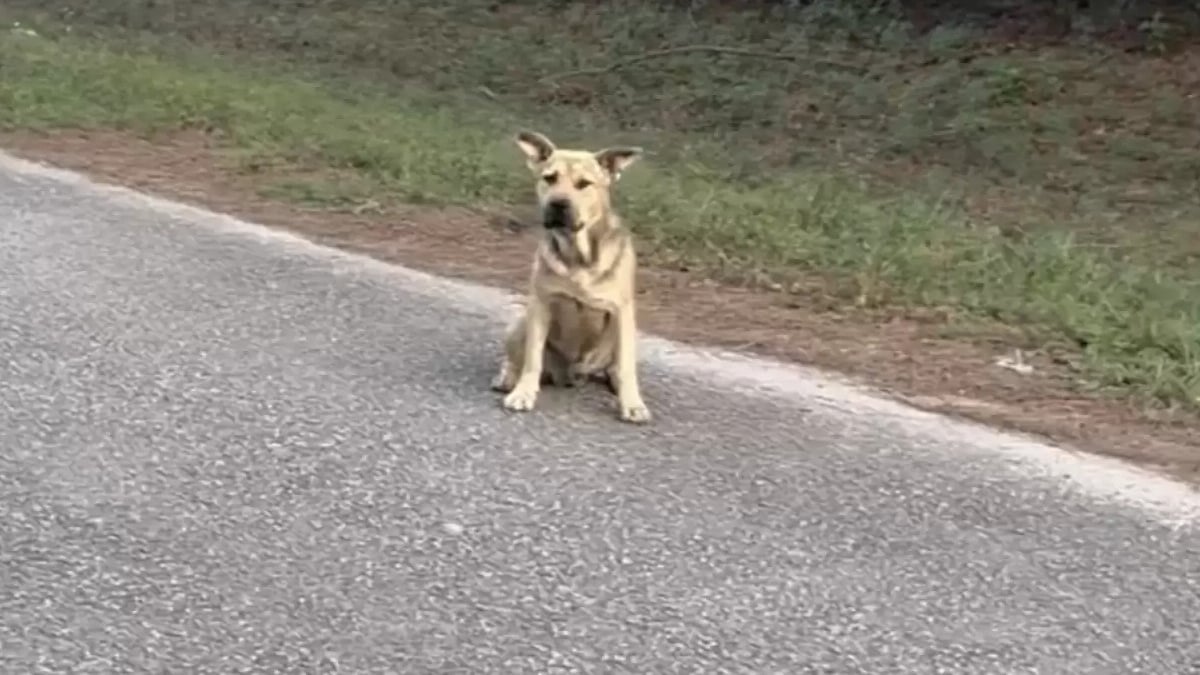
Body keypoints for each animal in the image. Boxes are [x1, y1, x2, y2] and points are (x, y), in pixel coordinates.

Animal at [489, 130, 652, 420]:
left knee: (616, 365)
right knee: (517, 358)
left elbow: (626, 366)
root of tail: (572, 375)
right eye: (549, 178)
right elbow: (532, 358)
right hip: (521, 322)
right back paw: (508, 377)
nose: (558, 203)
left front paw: (632, 404)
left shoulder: (622, 312)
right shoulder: (540, 305)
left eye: (584, 183)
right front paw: (523, 393)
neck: (578, 253)